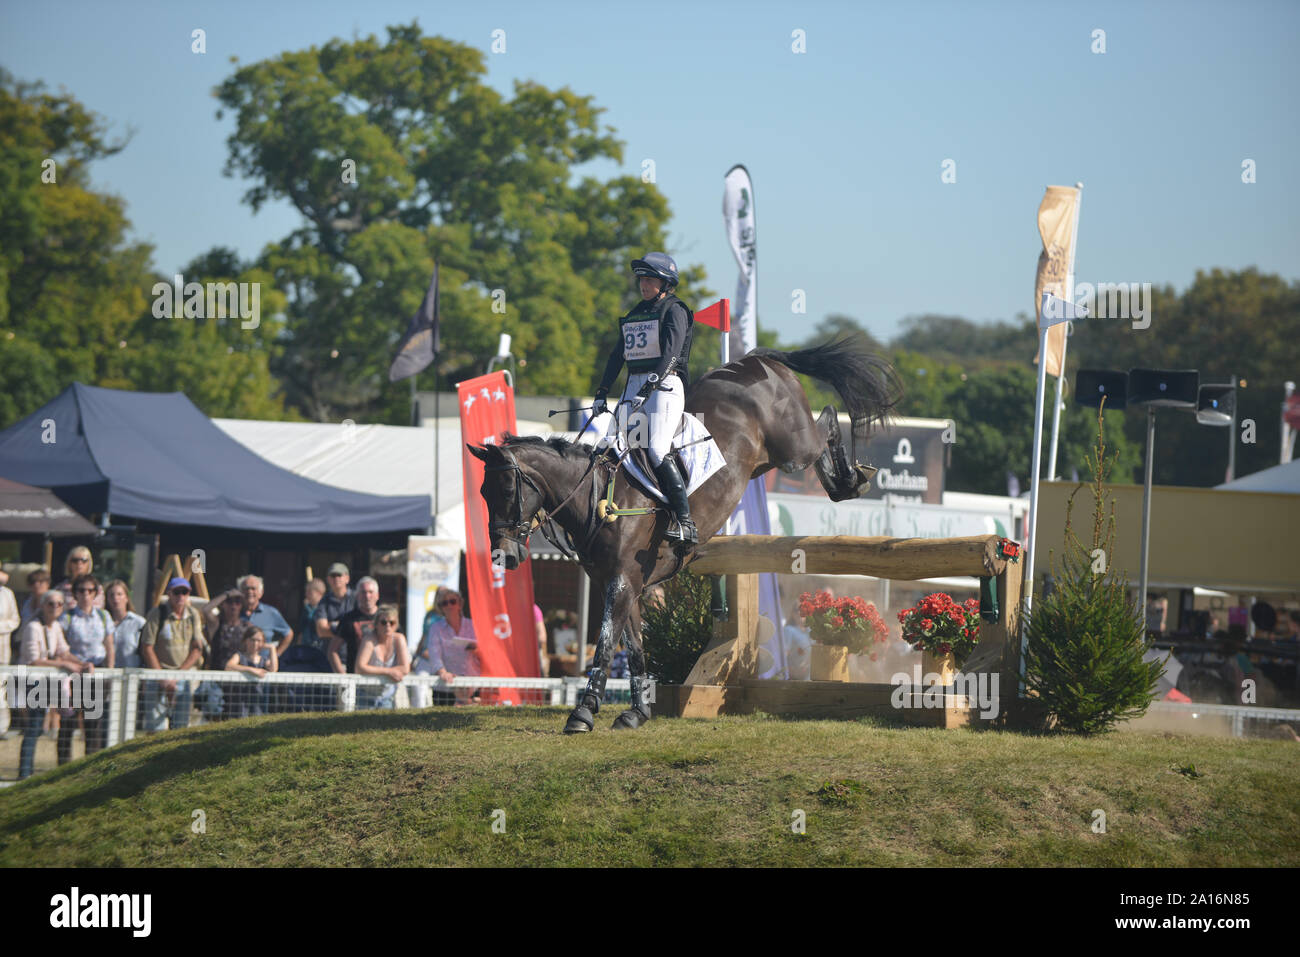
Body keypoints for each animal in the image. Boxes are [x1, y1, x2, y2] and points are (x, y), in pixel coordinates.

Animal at [470, 340, 904, 738]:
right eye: (482, 495)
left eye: (506, 491)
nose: (503, 556)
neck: (598, 500)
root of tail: (758, 359)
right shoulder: (624, 584)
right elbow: (635, 647)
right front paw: (636, 712)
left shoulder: (621, 581)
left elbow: (606, 644)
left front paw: (582, 713)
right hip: (769, 460)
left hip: (793, 448)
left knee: (827, 421)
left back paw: (850, 478)